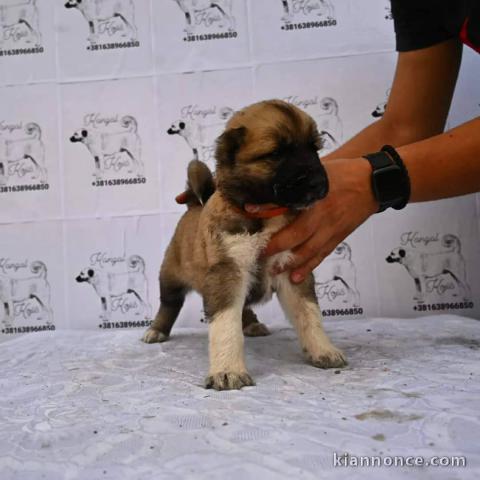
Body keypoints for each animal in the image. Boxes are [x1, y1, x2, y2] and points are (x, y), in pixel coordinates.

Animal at [141, 100, 346, 390]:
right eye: (276, 153)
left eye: (314, 148)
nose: (318, 183)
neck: (266, 212)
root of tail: (194, 204)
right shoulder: (228, 270)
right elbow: (226, 324)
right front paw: (228, 371)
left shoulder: (291, 269)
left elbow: (309, 314)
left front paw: (323, 350)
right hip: (170, 275)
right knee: (169, 304)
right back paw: (156, 330)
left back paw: (251, 324)